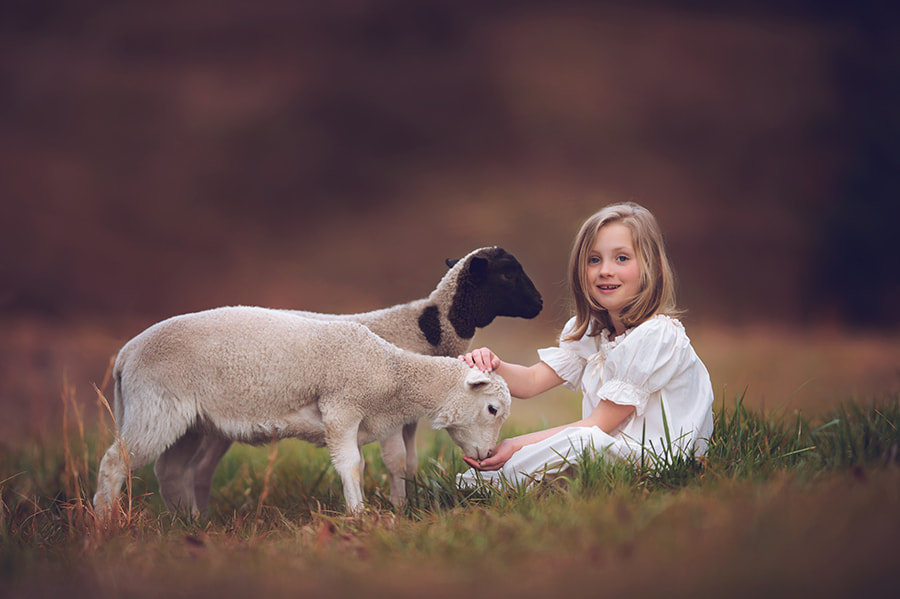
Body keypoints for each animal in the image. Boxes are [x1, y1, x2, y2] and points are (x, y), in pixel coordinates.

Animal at [95, 308, 512, 516]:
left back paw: (190, 526)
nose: (487, 455)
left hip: (189, 421)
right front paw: (358, 515)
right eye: (492, 409)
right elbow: (352, 465)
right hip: (155, 407)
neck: (391, 370)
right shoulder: (340, 407)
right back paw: (106, 525)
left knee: (170, 471)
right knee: (114, 463)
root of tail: (126, 354)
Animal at [153, 246, 540, 512]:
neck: (422, 327)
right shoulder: (386, 412)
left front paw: (410, 500)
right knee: (194, 468)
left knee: (200, 468)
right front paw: (399, 507)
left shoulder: (409, 417)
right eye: (508, 275)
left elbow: (410, 462)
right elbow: (395, 461)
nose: (539, 304)